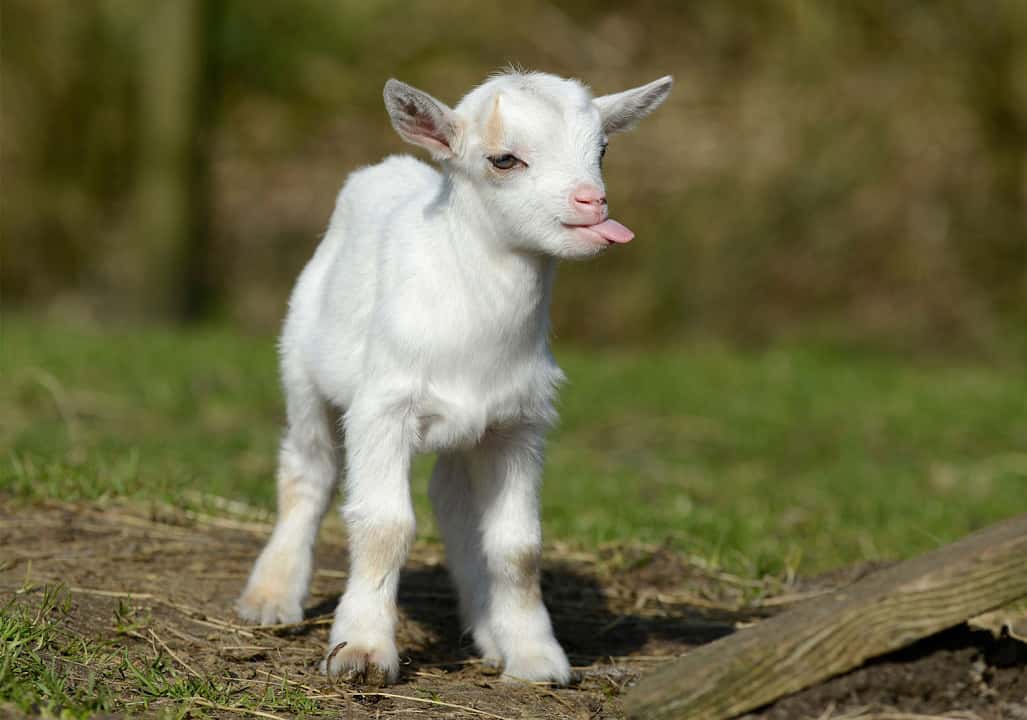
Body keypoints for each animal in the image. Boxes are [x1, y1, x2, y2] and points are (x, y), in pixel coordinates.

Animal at [237, 70, 672, 685]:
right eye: (504, 159)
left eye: (603, 149)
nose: (592, 202)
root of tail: (389, 166)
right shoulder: (383, 409)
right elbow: (384, 525)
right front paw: (362, 650)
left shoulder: (520, 424)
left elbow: (518, 545)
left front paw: (535, 656)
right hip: (302, 370)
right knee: (308, 470)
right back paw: (271, 596)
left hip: (469, 431)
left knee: (452, 500)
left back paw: (487, 629)